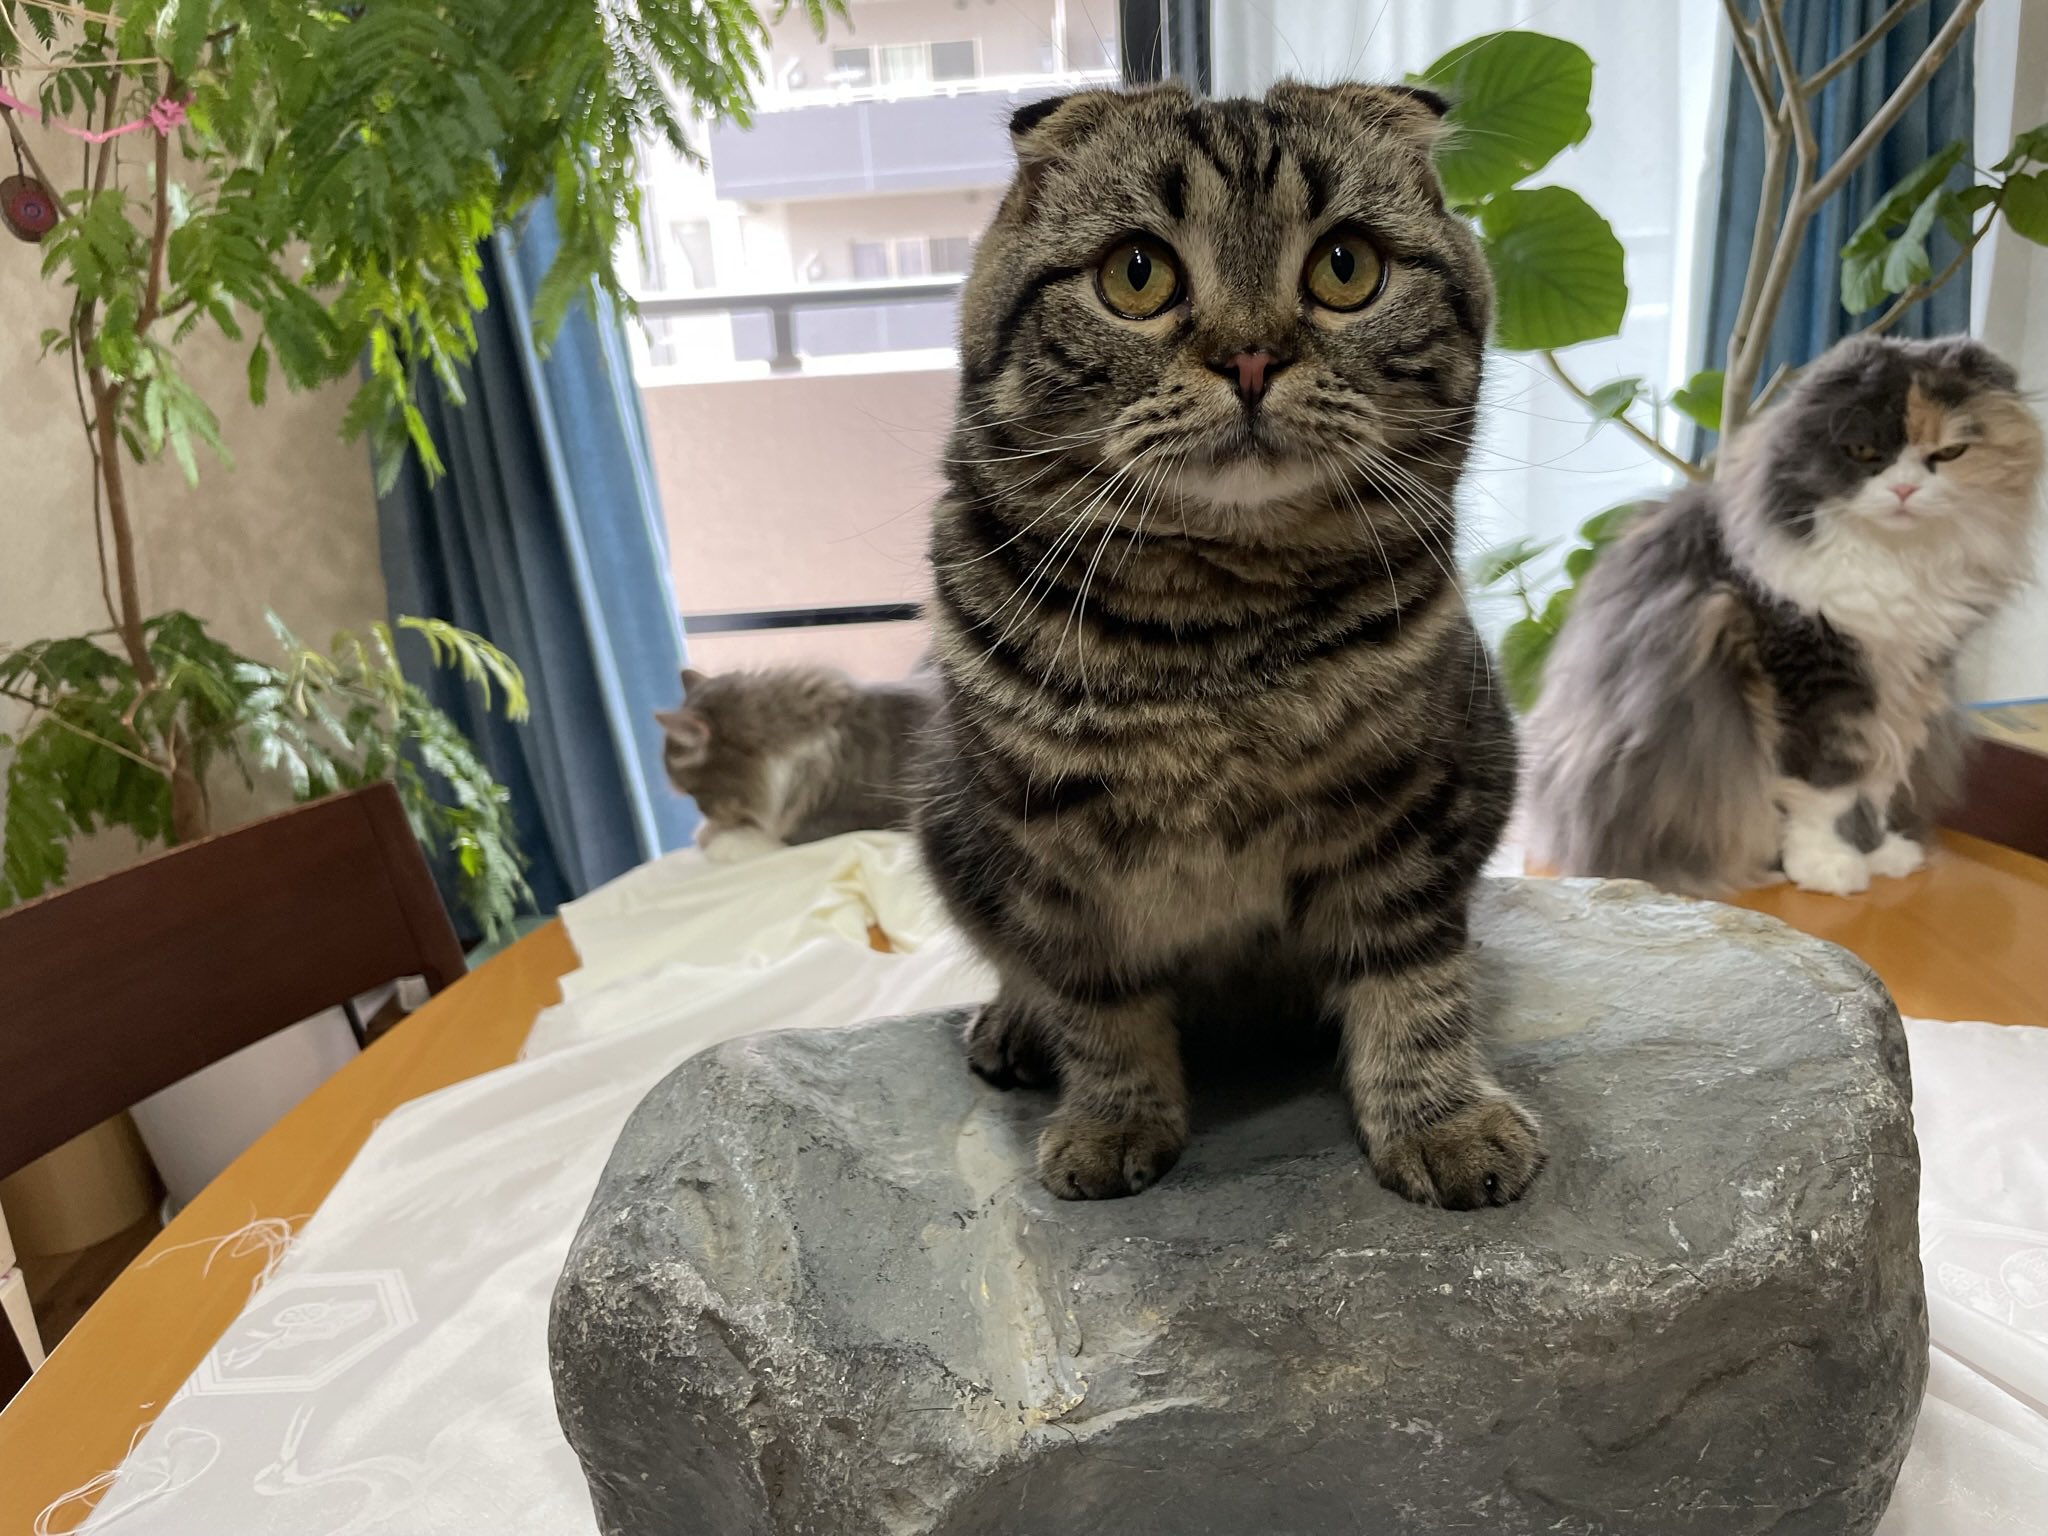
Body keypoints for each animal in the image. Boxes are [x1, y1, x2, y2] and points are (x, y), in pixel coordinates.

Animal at [915, 82, 1533, 1207]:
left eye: (1345, 267)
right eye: (1137, 274)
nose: (1250, 357)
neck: (1214, 634)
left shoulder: (1406, 812)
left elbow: (1413, 984)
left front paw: (1441, 1121)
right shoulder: (1049, 851)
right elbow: (1097, 1005)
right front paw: (1112, 1121)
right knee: (1019, 967)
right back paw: (1015, 1026)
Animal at [1527, 334, 2043, 897]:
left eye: (1949, 453)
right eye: (1863, 452)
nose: (1904, 491)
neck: (1893, 561)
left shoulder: (1907, 684)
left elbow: (1877, 781)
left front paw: (1878, 852)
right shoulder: (1809, 675)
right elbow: (1824, 790)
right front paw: (1825, 864)